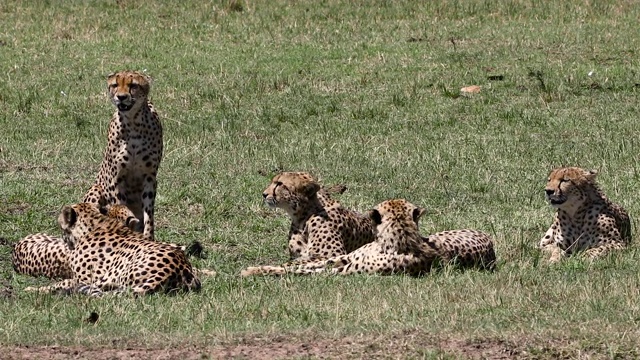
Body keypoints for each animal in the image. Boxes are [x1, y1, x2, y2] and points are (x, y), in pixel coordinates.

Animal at [83, 70, 162, 239]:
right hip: (95, 188)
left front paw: (148, 238)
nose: (121, 97)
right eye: (115, 85)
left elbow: (148, 215)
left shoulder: (149, 176)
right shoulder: (117, 177)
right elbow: (121, 207)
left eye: (133, 85)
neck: (133, 122)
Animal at [240, 198, 496, 278]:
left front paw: (251, 271)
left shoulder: (342, 269)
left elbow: (302, 269)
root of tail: (490, 244)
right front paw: (256, 268)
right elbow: (301, 265)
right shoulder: (342, 259)